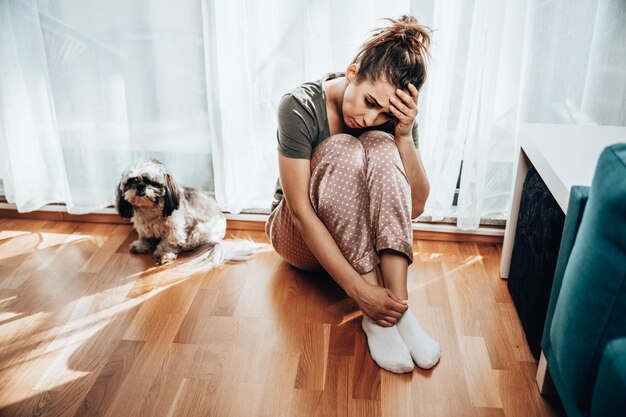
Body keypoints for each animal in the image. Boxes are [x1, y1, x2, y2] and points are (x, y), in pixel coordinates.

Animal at [114, 158, 256, 264]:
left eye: (151, 181)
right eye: (131, 181)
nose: (140, 187)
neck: (150, 211)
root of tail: (218, 241)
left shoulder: (175, 231)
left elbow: (168, 242)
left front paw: (163, 254)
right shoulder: (144, 227)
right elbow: (145, 237)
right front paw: (141, 245)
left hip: (200, 230)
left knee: (193, 241)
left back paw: (186, 246)